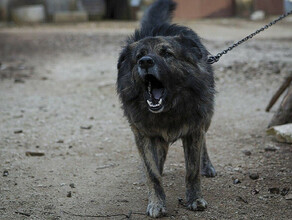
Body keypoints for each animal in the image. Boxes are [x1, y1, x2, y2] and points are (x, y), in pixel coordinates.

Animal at [117, 0, 217, 217]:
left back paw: (207, 166)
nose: (145, 62)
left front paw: (195, 199)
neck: (168, 110)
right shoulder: (143, 134)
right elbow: (152, 172)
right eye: (139, 56)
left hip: (207, 117)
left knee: (204, 142)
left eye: (167, 54)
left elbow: (192, 171)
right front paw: (156, 202)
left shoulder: (194, 129)